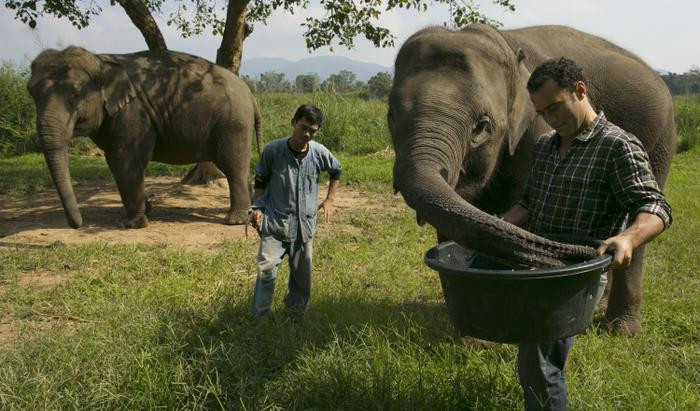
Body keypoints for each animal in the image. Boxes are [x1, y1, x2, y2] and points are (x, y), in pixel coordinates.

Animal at [26, 47, 262, 232]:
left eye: (76, 94)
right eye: (31, 93)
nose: (77, 225)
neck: (101, 60)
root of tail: (250, 94)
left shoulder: (133, 113)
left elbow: (125, 160)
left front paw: (129, 225)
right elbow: (115, 162)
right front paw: (143, 212)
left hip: (233, 123)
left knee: (232, 165)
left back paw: (234, 220)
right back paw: (251, 210)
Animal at [392, 24, 676, 336]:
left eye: (482, 128)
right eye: (391, 116)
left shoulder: (536, 130)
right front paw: (466, 335)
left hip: (659, 142)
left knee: (643, 214)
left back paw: (619, 330)